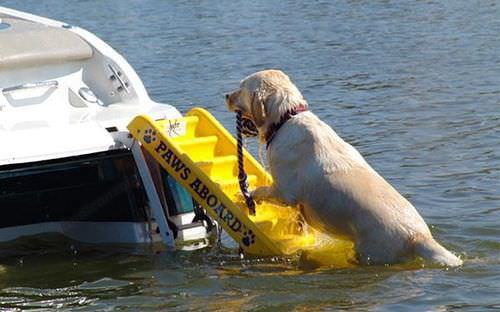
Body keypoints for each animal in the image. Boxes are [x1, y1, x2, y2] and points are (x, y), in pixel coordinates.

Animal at [225, 68, 462, 266]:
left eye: (241, 87)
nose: (225, 96)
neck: (286, 118)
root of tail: (419, 237)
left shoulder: (285, 192)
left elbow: (261, 191)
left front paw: (245, 196)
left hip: (371, 252)